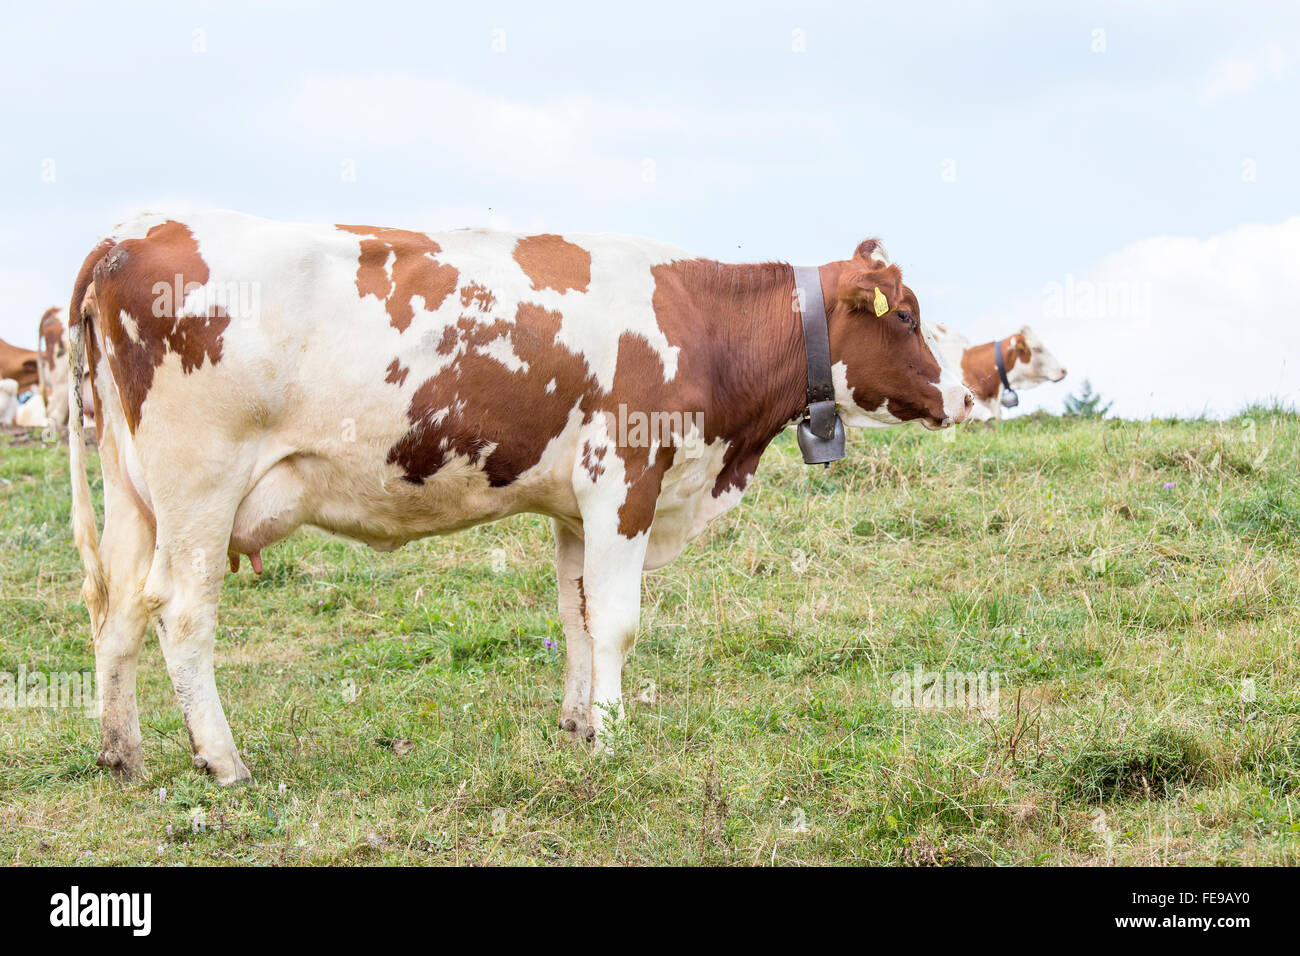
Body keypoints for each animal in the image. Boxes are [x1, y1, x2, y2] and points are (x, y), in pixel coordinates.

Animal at [68, 210, 972, 784]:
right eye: (908, 315)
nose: (969, 393)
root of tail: (134, 232)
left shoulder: (577, 504)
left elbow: (577, 616)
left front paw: (578, 725)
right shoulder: (625, 479)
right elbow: (618, 622)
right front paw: (613, 738)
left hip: (132, 492)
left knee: (116, 610)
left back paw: (122, 754)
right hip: (200, 486)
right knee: (183, 616)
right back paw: (223, 762)